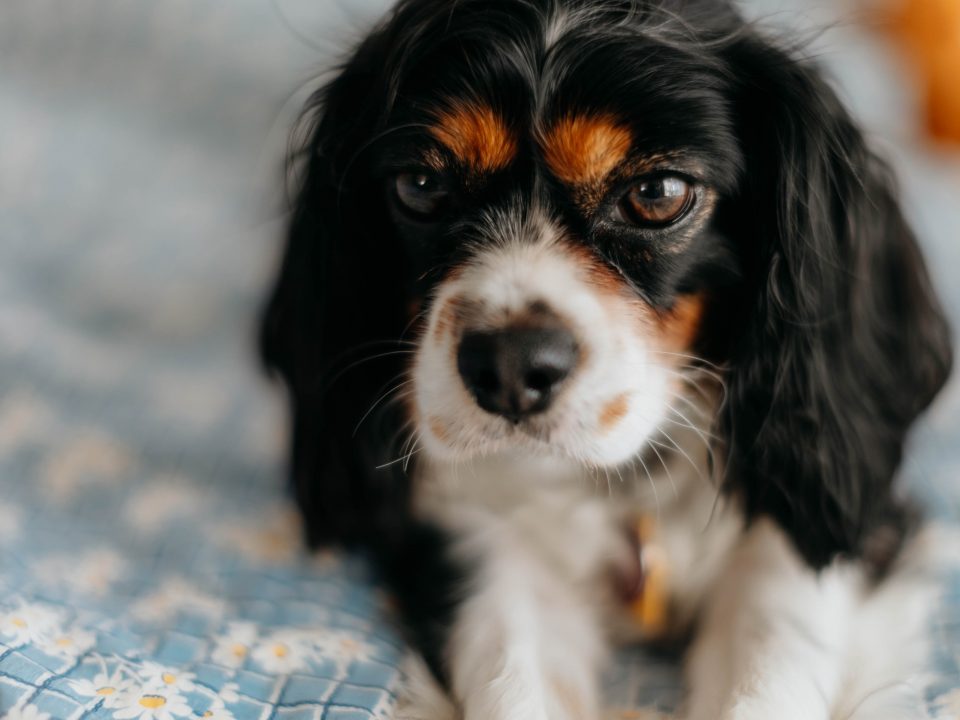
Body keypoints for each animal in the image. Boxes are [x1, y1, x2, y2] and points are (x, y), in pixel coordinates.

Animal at [260, 1, 952, 716]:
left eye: (658, 193)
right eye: (420, 186)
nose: (509, 367)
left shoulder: (823, 519)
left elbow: (774, 644)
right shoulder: (471, 537)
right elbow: (512, 671)